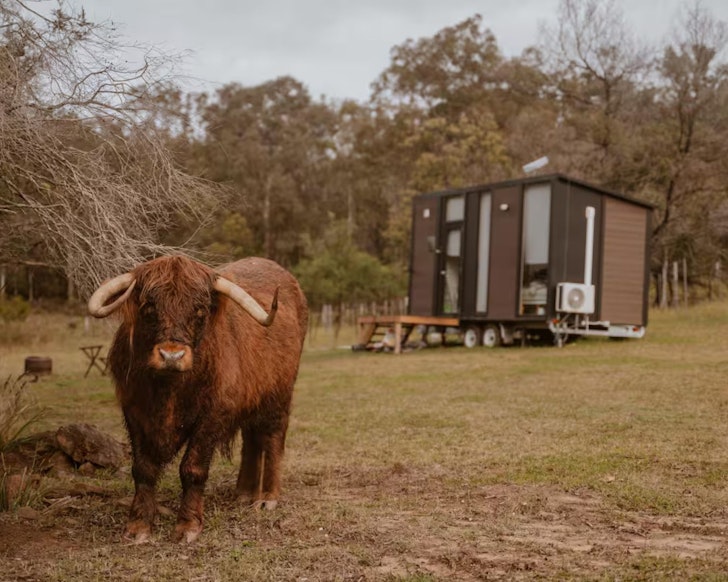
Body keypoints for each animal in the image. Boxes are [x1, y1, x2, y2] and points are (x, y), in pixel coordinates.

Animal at [87, 255, 308, 543]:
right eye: (149, 307)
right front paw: (138, 526)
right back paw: (243, 493)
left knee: (271, 439)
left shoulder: (213, 415)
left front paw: (188, 526)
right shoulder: (134, 410)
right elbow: (143, 469)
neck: (168, 390)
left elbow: (193, 468)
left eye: (200, 310)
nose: (172, 356)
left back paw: (267, 498)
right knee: (251, 440)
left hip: (278, 396)